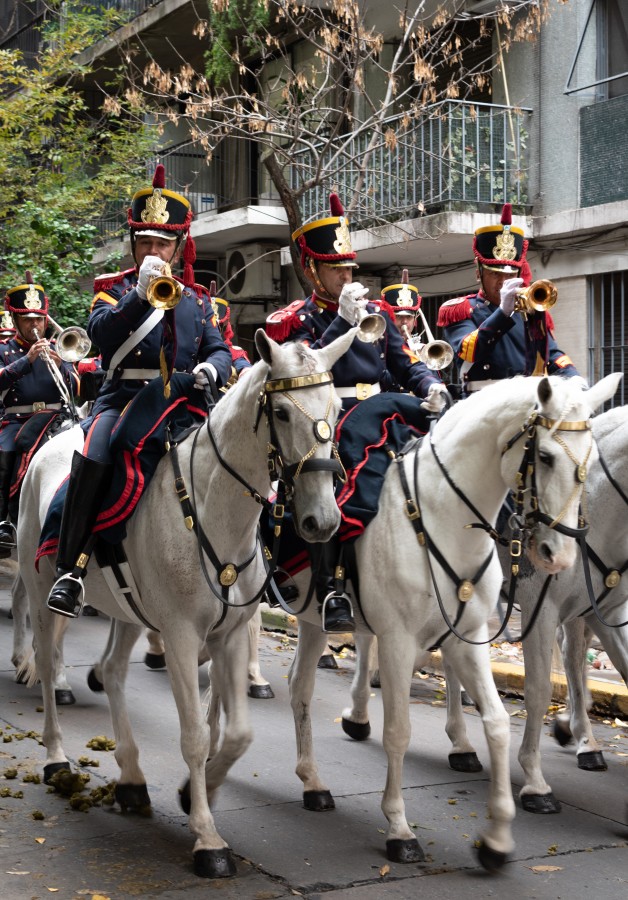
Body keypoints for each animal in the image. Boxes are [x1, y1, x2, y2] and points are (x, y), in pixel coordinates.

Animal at [17, 326, 356, 876]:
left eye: (335, 407)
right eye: (283, 414)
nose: (322, 521)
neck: (216, 510)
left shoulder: (230, 633)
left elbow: (238, 733)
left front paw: (195, 792)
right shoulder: (179, 635)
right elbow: (196, 735)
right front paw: (207, 839)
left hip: (130, 611)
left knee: (114, 671)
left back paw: (132, 779)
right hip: (42, 588)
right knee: (48, 666)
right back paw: (55, 757)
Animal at [274, 374, 620, 872]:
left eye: (591, 458)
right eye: (546, 456)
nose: (560, 555)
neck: (444, 517)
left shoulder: (469, 638)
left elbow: (497, 722)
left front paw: (496, 837)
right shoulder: (398, 641)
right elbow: (398, 731)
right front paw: (399, 829)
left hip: (314, 622)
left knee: (299, 686)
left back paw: (313, 782)